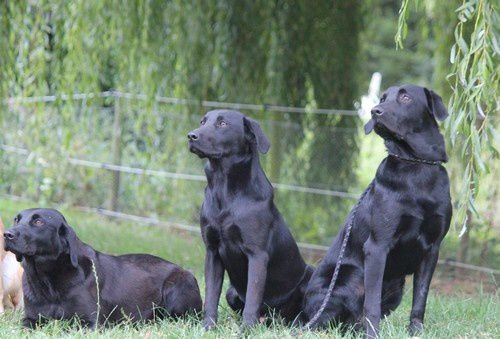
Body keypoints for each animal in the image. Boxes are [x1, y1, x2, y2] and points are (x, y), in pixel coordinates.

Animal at [3, 209, 203, 328]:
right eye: (16, 219)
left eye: (39, 222)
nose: (7, 234)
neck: (48, 279)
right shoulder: (31, 319)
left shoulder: (90, 322)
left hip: (178, 289)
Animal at [188, 111, 312, 330]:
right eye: (202, 122)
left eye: (223, 123)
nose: (191, 136)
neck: (224, 189)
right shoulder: (212, 251)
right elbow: (211, 295)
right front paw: (208, 327)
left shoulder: (257, 254)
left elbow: (253, 299)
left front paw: (246, 330)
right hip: (231, 292)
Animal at [302, 84, 452, 338]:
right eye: (382, 98)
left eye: (405, 97)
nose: (375, 111)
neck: (416, 164)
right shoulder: (377, 246)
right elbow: (371, 303)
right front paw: (373, 334)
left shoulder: (432, 249)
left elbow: (420, 298)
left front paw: (416, 331)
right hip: (348, 278)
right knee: (329, 320)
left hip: (397, 287)